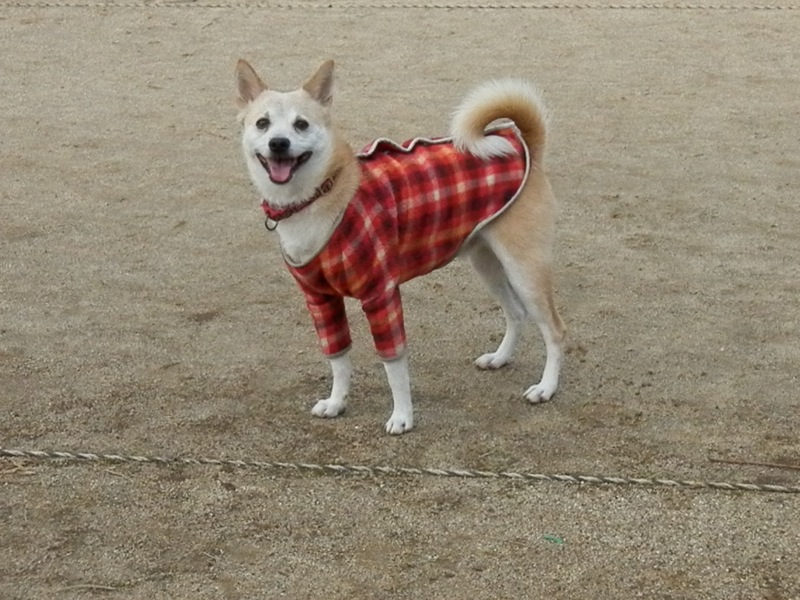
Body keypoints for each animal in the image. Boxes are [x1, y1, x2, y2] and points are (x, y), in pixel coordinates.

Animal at [235, 59, 566, 434]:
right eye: (262, 123)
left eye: (301, 124)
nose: (278, 143)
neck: (323, 194)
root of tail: (525, 144)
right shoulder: (321, 301)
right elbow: (338, 358)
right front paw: (336, 403)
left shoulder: (381, 295)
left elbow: (394, 365)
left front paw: (402, 416)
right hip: (488, 263)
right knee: (516, 312)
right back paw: (499, 358)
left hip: (525, 269)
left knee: (555, 330)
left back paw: (546, 388)